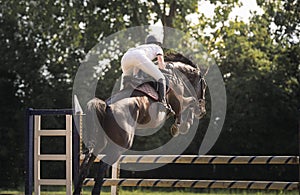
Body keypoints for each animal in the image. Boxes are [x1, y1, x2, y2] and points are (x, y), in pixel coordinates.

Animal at [74, 52, 207, 194]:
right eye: (204, 86)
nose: (203, 111)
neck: (176, 75)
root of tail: (106, 106)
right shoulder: (180, 101)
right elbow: (191, 102)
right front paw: (182, 126)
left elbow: (190, 104)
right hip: (120, 145)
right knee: (103, 166)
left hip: (100, 143)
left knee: (86, 166)